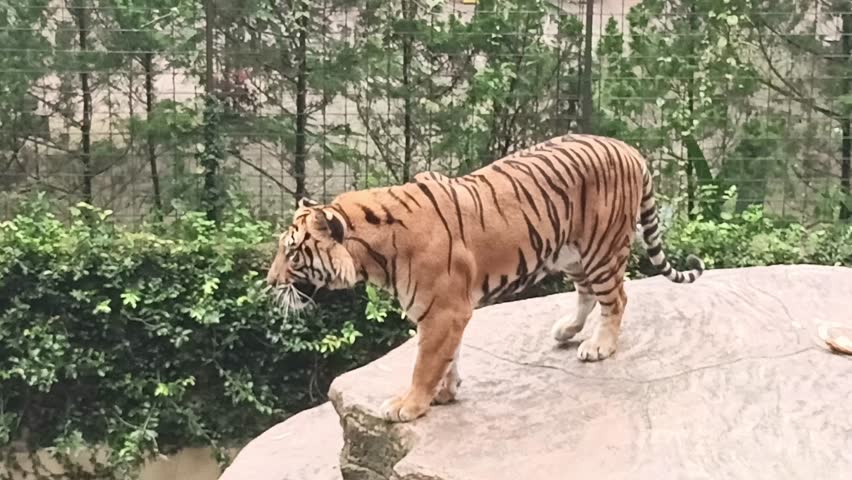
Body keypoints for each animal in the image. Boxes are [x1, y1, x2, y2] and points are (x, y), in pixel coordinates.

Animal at [265, 133, 704, 423]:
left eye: (292, 251)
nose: (269, 282)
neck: (370, 253)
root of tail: (630, 148)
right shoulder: (446, 311)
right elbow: (448, 357)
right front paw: (444, 393)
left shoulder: (444, 310)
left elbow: (426, 362)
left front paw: (409, 405)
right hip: (572, 250)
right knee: (587, 293)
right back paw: (567, 330)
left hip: (602, 246)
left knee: (616, 298)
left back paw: (599, 346)